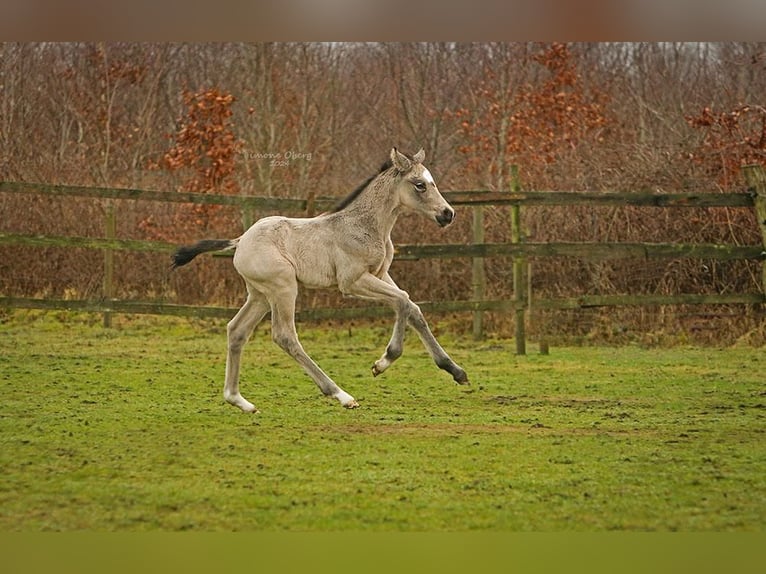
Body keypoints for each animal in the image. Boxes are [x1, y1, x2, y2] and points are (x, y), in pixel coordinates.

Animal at [176, 146, 468, 412]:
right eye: (420, 185)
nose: (447, 214)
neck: (364, 226)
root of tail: (240, 241)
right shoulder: (352, 282)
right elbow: (403, 301)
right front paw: (383, 362)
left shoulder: (381, 274)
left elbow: (413, 309)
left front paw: (455, 370)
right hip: (283, 289)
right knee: (285, 336)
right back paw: (342, 395)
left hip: (259, 295)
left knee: (236, 330)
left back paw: (239, 401)